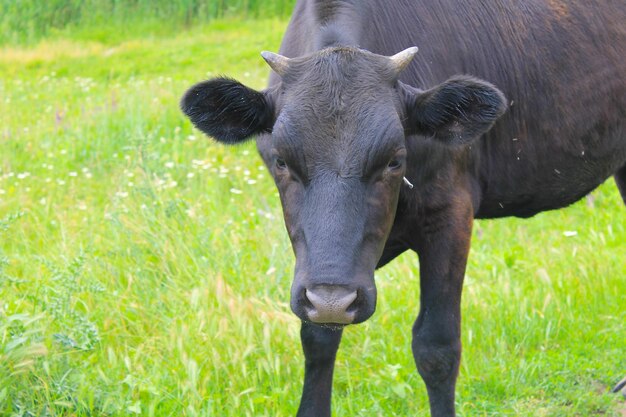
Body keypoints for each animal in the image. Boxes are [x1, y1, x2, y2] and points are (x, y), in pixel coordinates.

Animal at [180, 0, 624, 416]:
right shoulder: (316, 271)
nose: (333, 300)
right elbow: (317, 336)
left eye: (395, 159)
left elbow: (436, 346)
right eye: (281, 160)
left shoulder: (451, 213)